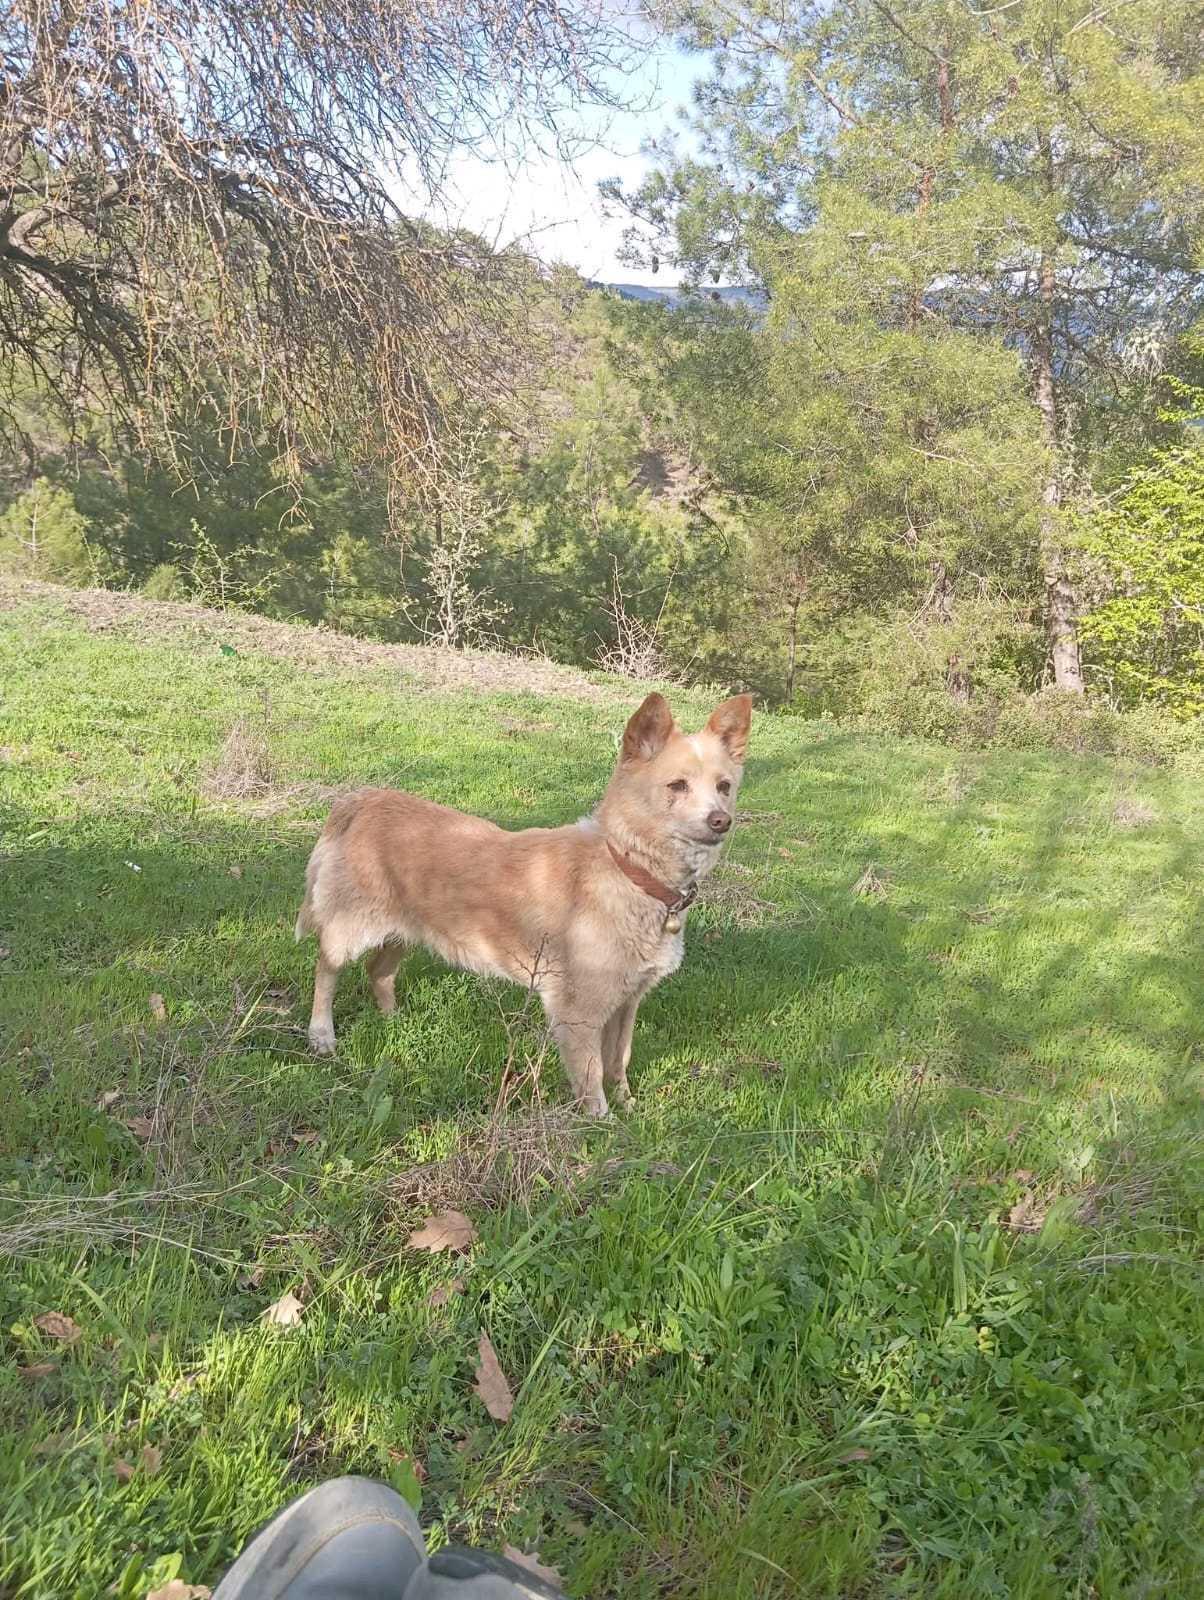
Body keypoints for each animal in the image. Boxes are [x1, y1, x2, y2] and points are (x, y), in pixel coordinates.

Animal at [295, 691, 752, 1115]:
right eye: (677, 786)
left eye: (724, 787)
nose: (721, 821)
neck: (629, 870)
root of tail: (360, 800)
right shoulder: (578, 1011)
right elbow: (592, 1081)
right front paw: (601, 1127)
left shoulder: (627, 1001)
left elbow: (618, 1061)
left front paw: (630, 1109)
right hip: (351, 926)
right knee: (326, 969)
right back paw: (321, 1035)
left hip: (403, 931)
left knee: (379, 972)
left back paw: (393, 1020)